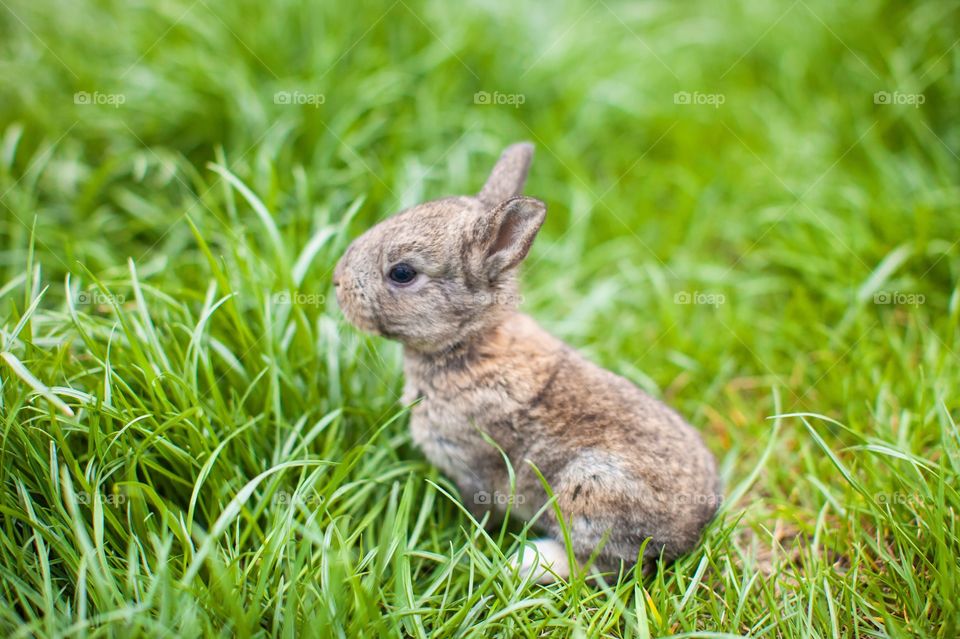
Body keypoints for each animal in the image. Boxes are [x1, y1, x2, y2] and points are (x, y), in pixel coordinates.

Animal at [333, 142, 721, 582]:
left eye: (401, 273)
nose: (337, 282)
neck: (468, 342)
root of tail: (692, 528)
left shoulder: (473, 466)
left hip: (589, 489)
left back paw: (526, 562)